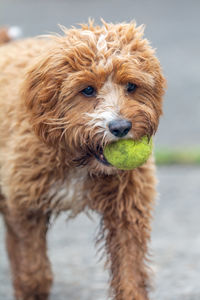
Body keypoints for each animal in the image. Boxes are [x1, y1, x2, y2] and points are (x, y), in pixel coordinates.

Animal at [0, 21, 166, 300]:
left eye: (131, 86)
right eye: (87, 89)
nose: (120, 127)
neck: (78, 160)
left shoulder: (127, 207)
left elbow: (130, 269)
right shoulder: (25, 205)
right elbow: (33, 269)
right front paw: (31, 288)